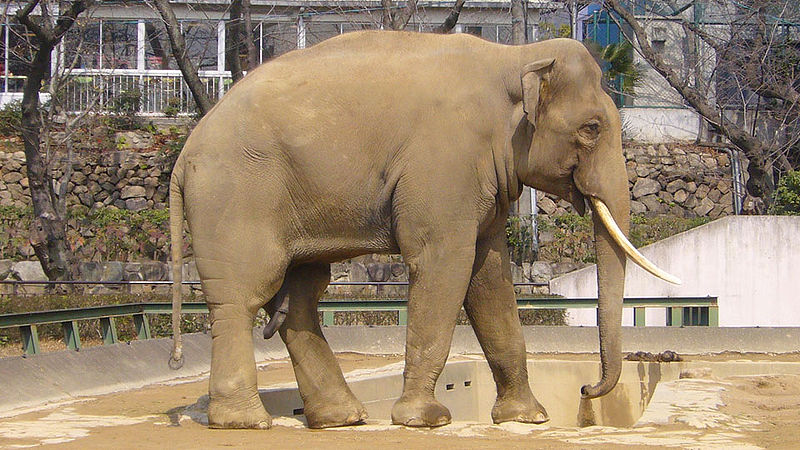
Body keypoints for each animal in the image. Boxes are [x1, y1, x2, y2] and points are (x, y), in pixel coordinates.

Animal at [167, 30, 678, 430]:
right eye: (592, 129)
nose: (588, 389)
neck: (514, 56)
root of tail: (186, 151)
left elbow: (489, 276)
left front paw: (528, 418)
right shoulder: (444, 165)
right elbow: (446, 264)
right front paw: (424, 420)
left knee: (301, 297)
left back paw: (341, 419)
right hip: (236, 196)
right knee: (244, 294)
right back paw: (246, 421)